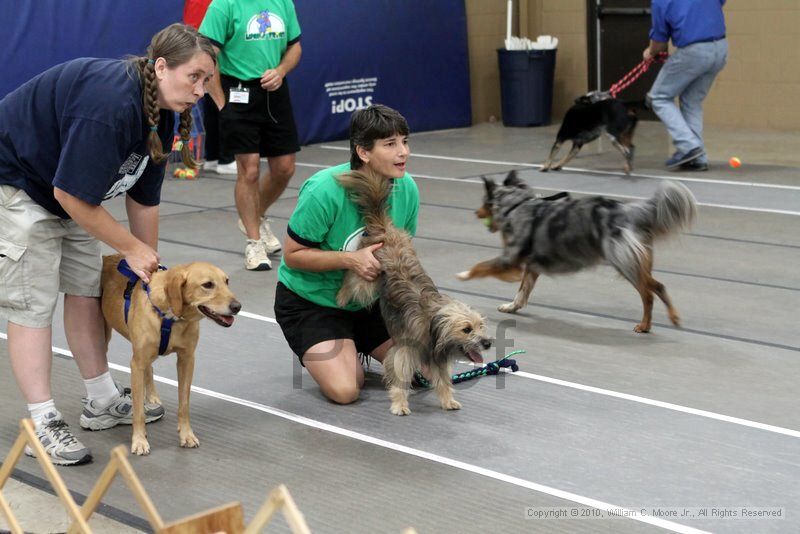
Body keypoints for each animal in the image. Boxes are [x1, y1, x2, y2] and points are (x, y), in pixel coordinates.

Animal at [100, 255, 239, 456]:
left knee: (150, 369)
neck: (171, 317)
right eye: (207, 285)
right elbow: (138, 411)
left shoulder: (187, 360)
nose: (237, 306)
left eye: (227, 281)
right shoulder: (137, 363)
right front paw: (139, 441)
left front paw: (187, 435)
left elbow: (184, 404)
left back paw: (152, 396)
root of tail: (106, 256)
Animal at [334, 170, 490, 416]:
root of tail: (385, 227)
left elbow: (443, 380)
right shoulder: (404, 352)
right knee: (352, 276)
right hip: (368, 276)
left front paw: (448, 400)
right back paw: (341, 296)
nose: (487, 342)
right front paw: (399, 404)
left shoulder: (436, 357)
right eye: (466, 329)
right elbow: (399, 378)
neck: (432, 324)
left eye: (481, 326)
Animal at [460, 172, 696, 332]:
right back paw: (673, 317)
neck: (516, 205)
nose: (475, 213)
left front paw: (463, 275)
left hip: (624, 263)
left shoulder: (510, 259)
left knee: (648, 294)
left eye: (484, 203)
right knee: (658, 286)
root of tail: (628, 211)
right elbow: (522, 291)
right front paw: (511, 307)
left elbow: (482, 266)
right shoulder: (532, 267)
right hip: (637, 262)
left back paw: (644, 325)